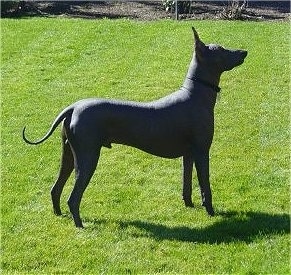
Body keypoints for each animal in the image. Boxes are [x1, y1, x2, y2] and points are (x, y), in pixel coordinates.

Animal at [22, 27, 249, 229]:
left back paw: (59, 214)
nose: (244, 52)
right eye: (221, 50)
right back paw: (79, 225)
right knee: (73, 197)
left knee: (55, 188)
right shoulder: (202, 152)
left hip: (69, 154)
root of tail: (73, 107)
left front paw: (189, 205)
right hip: (88, 157)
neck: (195, 95)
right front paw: (211, 212)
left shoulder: (188, 154)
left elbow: (187, 184)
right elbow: (205, 186)